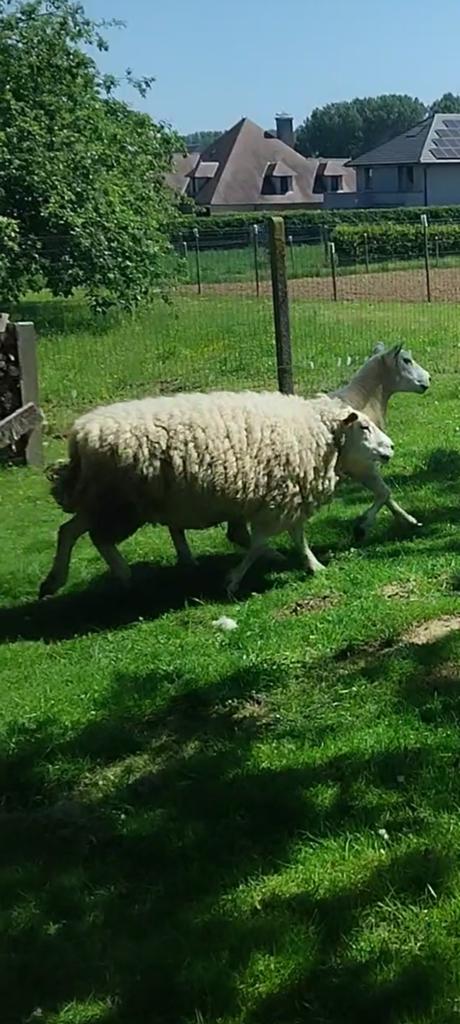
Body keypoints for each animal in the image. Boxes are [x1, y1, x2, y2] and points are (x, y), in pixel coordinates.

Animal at [39, 390, 394, 599]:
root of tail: (80, 436)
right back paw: (123, 576)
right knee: (97, 537)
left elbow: (295, 535)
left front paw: (312, 564)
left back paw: (54, 581)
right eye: (363, 427)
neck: (316, 433)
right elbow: (262, 542)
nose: (390, 448)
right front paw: (233, 580)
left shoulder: (289, 495)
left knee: (68, 530)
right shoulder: (281, 495)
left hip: (102, 499)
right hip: (121, 503)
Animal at [168, 342, 430, 565]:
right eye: (406, 360)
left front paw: (408, 520)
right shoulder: (363, 466)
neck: (360, 402)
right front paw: (363, 527)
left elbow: (386, 496)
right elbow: (385, 493)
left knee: (199, 528)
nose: (428, 379)